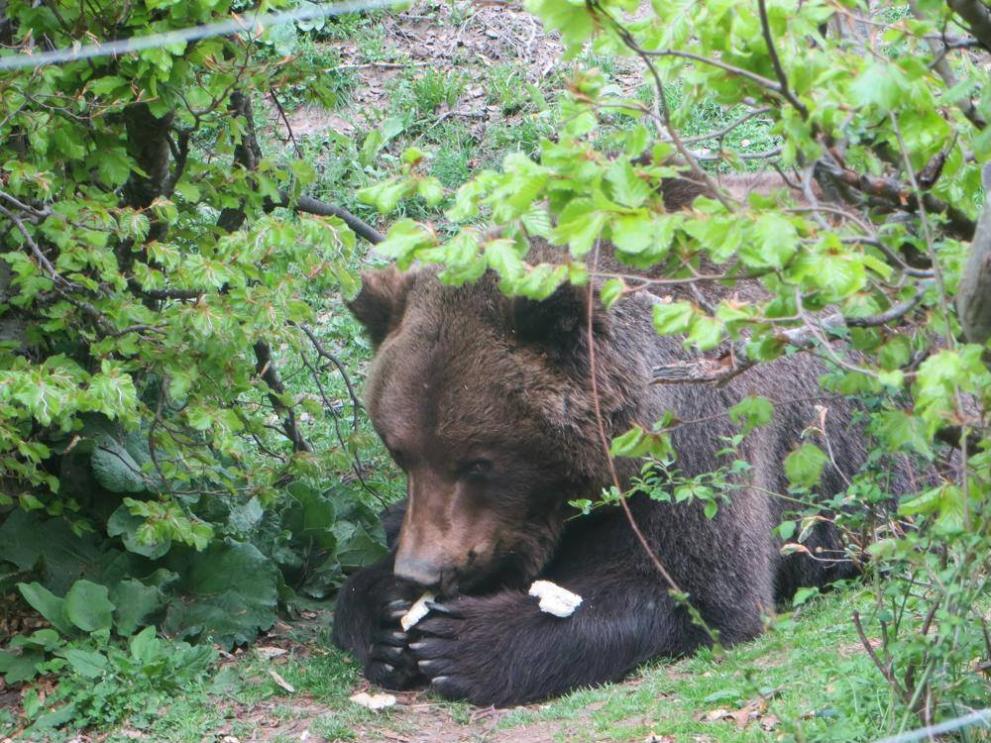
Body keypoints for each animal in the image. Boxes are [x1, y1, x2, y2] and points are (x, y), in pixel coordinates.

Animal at [334, 247, 884, 708]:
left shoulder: (702, 447)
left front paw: (461, 643)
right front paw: (386, 617)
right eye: (401, 452)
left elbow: (703, 588)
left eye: (477, 462)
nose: (420, 572)